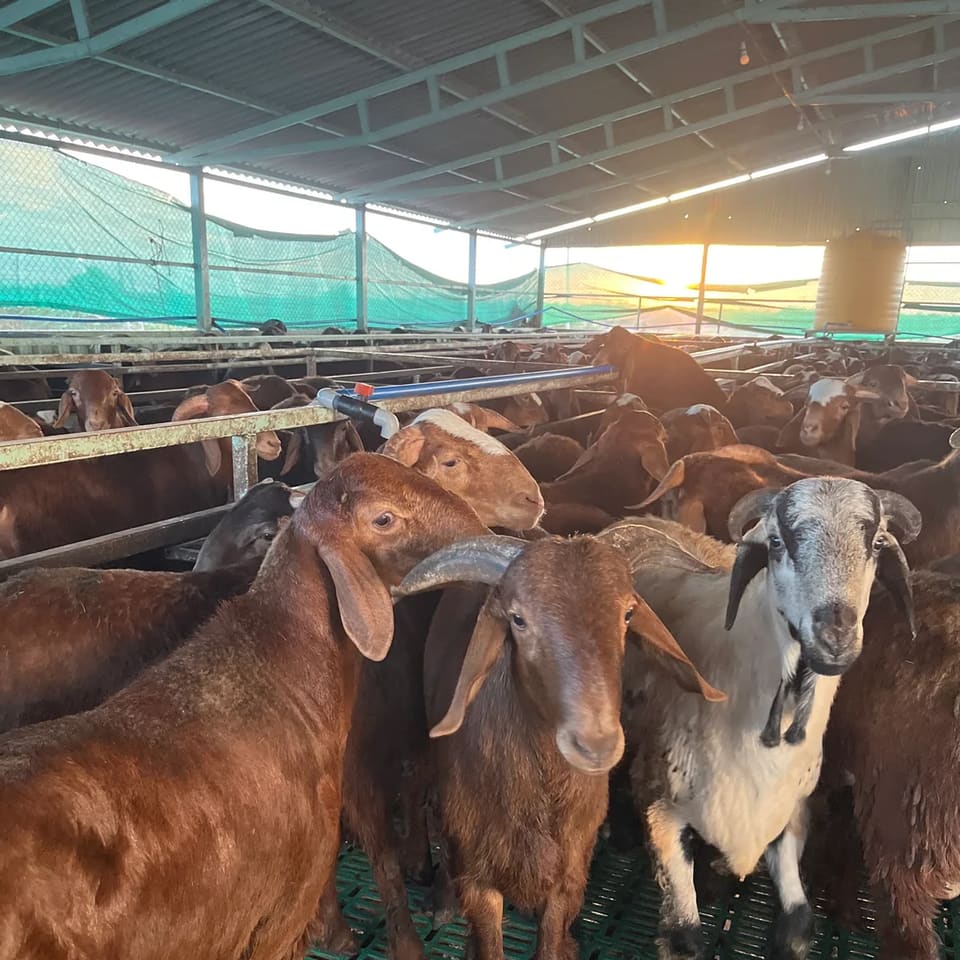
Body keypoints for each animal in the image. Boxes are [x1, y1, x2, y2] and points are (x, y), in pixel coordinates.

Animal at [0, 453, 488, 959]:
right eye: (384, 518)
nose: (479, 531)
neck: (277, 663)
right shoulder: (283, 905)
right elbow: (377, 856)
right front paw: (359, 936)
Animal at [393, 535, 723, 960]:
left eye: (628, 614)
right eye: (518, 619)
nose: (596, 744)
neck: (540, 798)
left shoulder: (570, 875)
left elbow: (549, 940)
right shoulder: (481, 878)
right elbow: (489, 941)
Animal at [620, 478, 920, 960]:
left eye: (875, 544)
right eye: (777, 543)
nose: (835, 635)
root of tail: (639, 523)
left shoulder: (790, 813)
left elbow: (799, 926)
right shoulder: (660, 805)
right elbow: (684, 936)